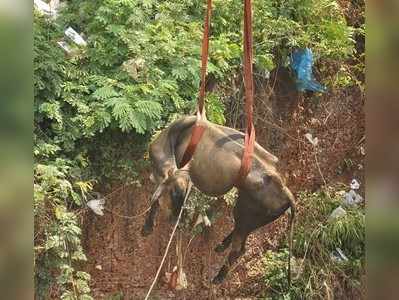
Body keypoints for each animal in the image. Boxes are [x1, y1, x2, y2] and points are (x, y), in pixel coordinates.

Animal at [142, 116, 296, 284]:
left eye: (178, 194)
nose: (177, 223)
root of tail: (286, 191)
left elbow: (155, 202)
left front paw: (147, 226)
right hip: (250, 219)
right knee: (238, 237)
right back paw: (221, 246)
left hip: (245, 213)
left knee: (239, 249)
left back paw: (219, 277)